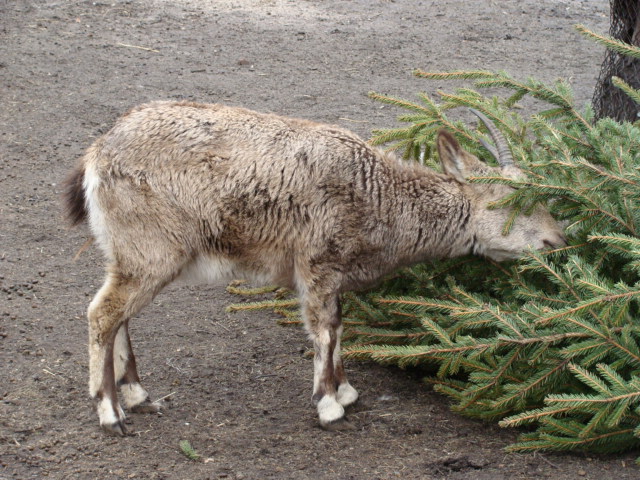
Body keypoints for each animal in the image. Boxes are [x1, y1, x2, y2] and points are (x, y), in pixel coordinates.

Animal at [64, 101, 567, 435]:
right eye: (511, 201)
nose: (556, 241)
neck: (378, 197)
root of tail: (96, 155)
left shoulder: (334, 274)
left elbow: (340, 326)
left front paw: (344, 390)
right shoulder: (317, 264)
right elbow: (324, 329)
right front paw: (328, 405)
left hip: (128, 254)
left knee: (118, 313)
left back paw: (136, 394)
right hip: (151, 250)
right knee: (102, 313)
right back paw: (110, 412)